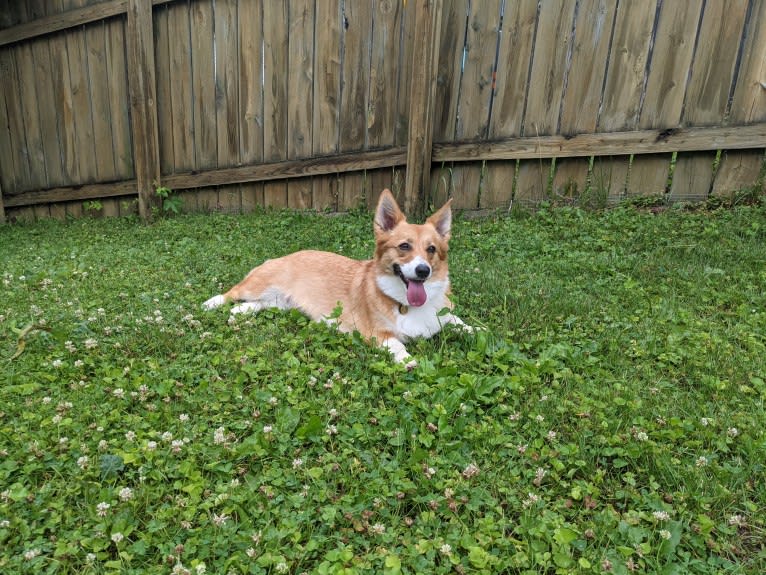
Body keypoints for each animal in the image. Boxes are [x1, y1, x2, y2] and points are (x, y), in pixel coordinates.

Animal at [206, 191, 474, 366]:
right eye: (404, 246)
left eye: (431, 249)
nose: (423, 271)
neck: (407, 304)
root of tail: (282, 256)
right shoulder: (376, 334)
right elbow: (397, 344)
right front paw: (408, 360)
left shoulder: (444, 316)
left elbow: (461, 323)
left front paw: (478, 330)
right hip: (257, 286)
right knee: (232, 293)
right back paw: (212, 303)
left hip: (281, 303)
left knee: (258, 305)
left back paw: (239, 313)